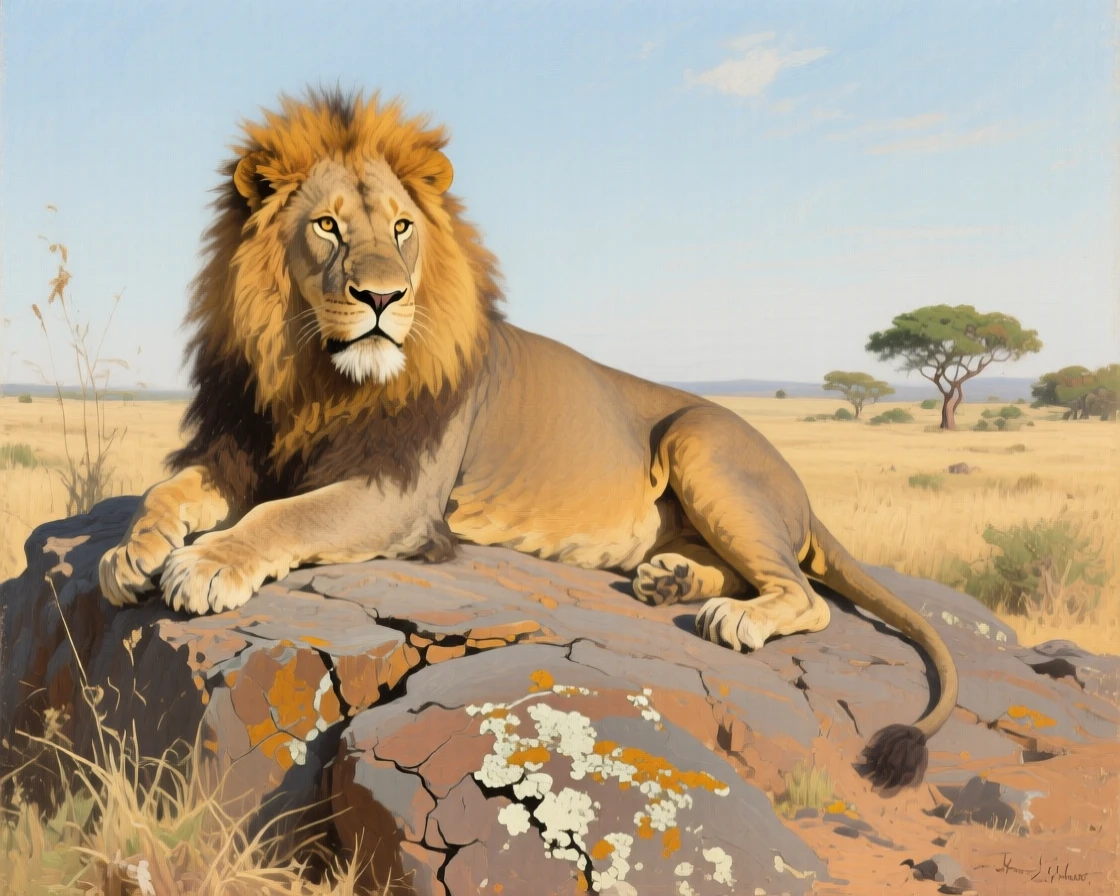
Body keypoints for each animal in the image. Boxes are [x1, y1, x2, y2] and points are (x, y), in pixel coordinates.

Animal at [99, 89, 958, 791]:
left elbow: (284, 516)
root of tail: (801, 492)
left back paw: (732, 617)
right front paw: (130, 554)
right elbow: (167, 491)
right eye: (327, 226)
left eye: (402, 229)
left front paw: (205, 565)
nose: (383, 297)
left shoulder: (401, 495)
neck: (313, 375)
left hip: (698, 439)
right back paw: (670, 581)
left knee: (805, 595)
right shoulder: (245, 448)